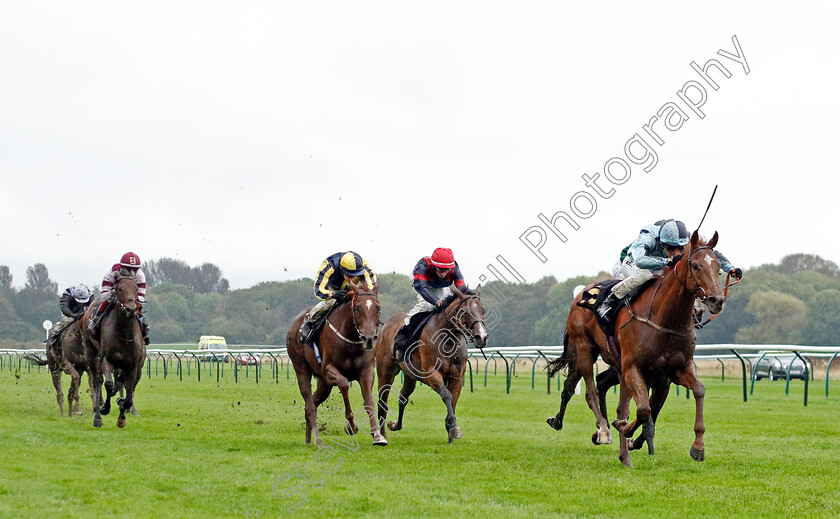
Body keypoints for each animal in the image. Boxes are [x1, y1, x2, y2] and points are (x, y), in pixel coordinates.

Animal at [81, 270, 146, 428]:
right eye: (120, 289)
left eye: (136, 289)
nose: (131, 309)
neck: (124, 334)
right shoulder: (106, 359)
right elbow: (109, 385)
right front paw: (105, 408)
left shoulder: (133, 365)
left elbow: (128, 393)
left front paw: (122, 417)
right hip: (91, 352)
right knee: (97, 380)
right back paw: (97, 416)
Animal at [284, 280, 386, 446]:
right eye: (357, 308)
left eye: (378, 307)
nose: (369, 338)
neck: (350, 337)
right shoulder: (328, 369)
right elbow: (344, 384)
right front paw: (351, 425)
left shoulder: (366, 370)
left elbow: (369, 401)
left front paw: (377, 436)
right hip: (301, 368)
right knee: (310, 405)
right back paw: (318, 440)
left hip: (324, 384)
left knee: (312, 404)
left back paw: (308, 439)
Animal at [378, 286, 488, 444]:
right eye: (464, 311)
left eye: (482, 310)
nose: (482, 337)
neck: (448, 340)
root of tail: (386, 324)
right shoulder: (431, 375)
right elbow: (447, 396)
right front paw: (453, 428)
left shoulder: (457, 378)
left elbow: (453, 400)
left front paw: (452, 432)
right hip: (386, 371)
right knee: (383, 401)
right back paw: (381, 435)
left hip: (410, 375)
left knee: (403, 397)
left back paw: (394, 425)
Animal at [548, 232, 724, 468]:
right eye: (695, 265)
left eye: (718, 266)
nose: (716, 300)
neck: (664, 319)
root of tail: (583, 293)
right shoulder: (634, 368)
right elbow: (643, 410)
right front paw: (623, 429)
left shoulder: (675, 371)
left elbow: (698, 391)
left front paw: (698, 447)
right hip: (584, 348)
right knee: (590, 390)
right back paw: (602, 430)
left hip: (615, 365)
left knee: (589, 389)